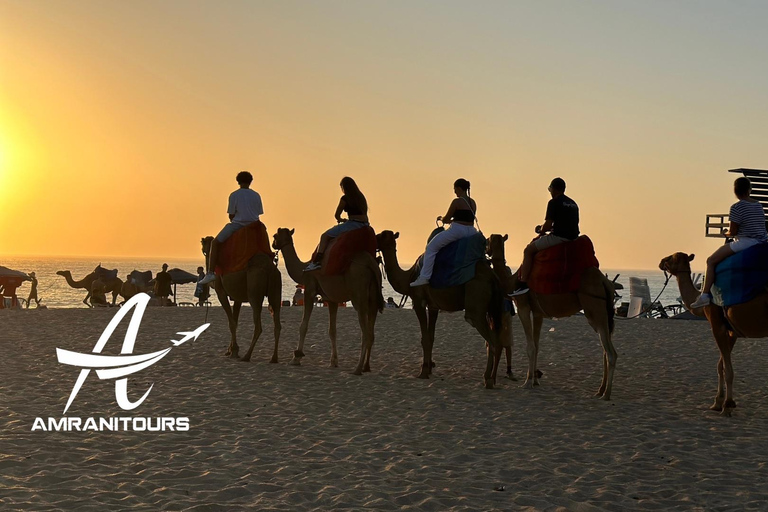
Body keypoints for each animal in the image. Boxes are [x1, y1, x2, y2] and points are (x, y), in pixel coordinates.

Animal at [272, 228, 388, 376]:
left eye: (275, 235)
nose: (273, 244)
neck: (303, 269)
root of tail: (371, 264)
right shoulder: (331, 299)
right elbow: (332, 330)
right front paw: (334, 362)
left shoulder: (309, 289)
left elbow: (303, 325)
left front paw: (296, 358)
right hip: (373, 299)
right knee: (371, 333)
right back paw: (366, 367)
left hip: (359, 294)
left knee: (365, 333)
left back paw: (357, 368)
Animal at [374, 229, 504, 388]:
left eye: (381, 235)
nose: (374, 237)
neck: (409, 277)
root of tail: (493, 277)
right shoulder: (433, 306)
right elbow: (431, 337)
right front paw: (429, 368)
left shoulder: (418, 301)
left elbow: (425, 338)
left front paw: (423, 372)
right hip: (491, 308)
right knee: (496, 340)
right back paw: (492, 378)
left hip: (476, 303)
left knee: (490, 340)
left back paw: (488, 379)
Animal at [486, 234, 616, 398]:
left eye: (488, 240)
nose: (485, 248)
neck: (511, 281)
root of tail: (605, 282)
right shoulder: (538, 312)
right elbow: (537, 346)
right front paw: (535, 381)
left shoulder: (523, 306)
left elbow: (530, 346)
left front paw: (527, 383)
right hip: (600, 315)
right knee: (605, 350)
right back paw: (600, 390)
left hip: (595, 309)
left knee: (611, 353)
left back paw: (607, 394)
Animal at [656, 252, 768, 416]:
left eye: (671, 257)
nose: (661, 261)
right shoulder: (731, 331)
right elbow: (720, 365)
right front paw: (717, 402)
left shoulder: (717, 325)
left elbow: (727, 369)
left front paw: (727, 405)